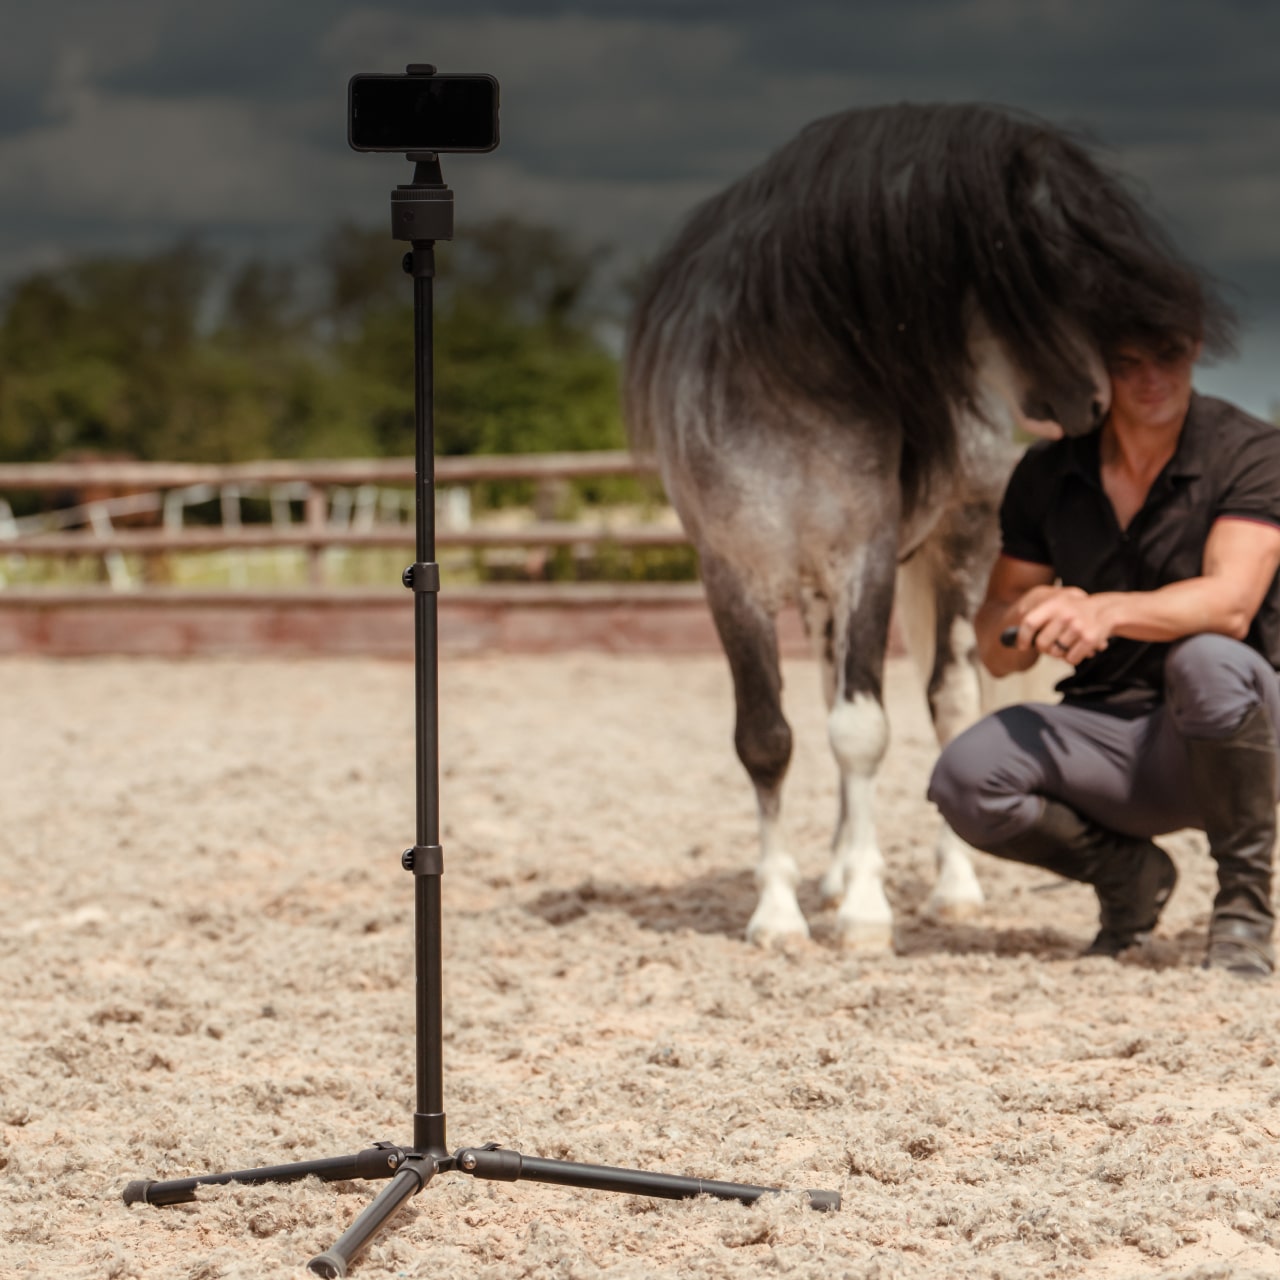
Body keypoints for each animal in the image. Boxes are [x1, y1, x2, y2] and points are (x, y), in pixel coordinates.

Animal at [624, 102, 1233, 950]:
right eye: (1032, 263)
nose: (1094, 404)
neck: (782, 387)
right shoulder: (731, 576)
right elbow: (767, 738)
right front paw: (779, 914)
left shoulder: (869, 562)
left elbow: (863, 732)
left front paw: (866, 917)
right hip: (817, 599)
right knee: (830, 698)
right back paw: (834, 876)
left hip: (957, 561)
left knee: (949, 710)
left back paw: (952, 890)